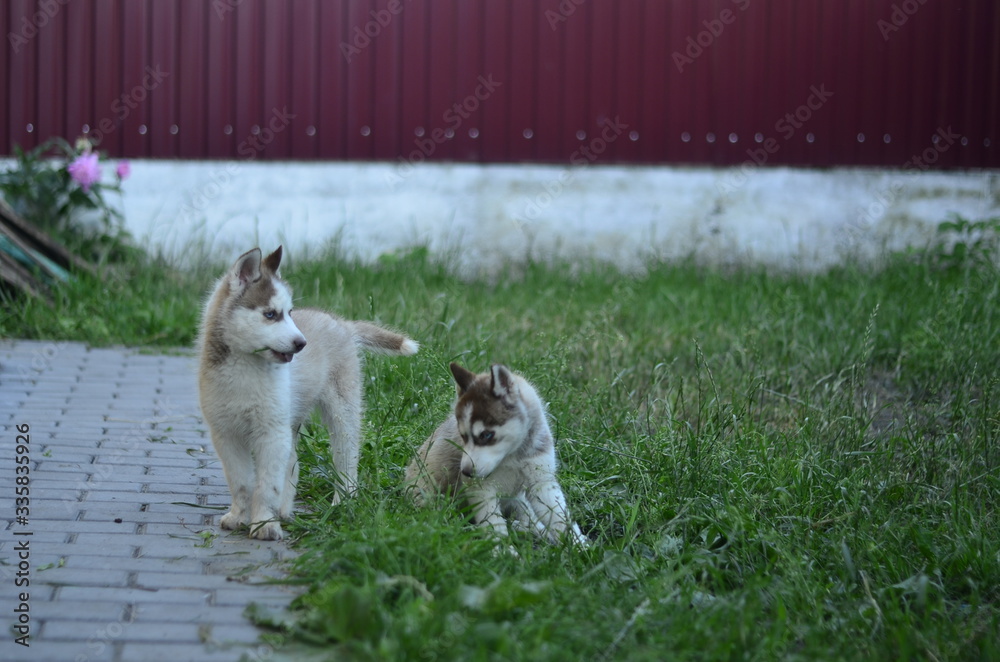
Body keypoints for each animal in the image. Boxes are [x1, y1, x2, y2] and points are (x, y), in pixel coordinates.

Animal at [199, 246, 418, 544]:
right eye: (271, 314)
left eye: (290, 312)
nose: (302, 343)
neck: (244, 367)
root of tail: (342, 323)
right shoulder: (225, 434)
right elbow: (241, 481)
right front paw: (240, 516)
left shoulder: (271, 432)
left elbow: (266, 484)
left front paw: (264, 523)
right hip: (290, 420)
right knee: (292, 461)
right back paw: (284, 510)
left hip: (341, 411)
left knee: (347, 457)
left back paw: (343, 501)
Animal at [404, 366, 584, 548]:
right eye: (463, 436)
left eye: (486, 435)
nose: (466, 472)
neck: (513, 455)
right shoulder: (481, 490)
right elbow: (494, 524)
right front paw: (504, 551)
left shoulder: (542, 482)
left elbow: (560, 518)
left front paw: (579, 545)